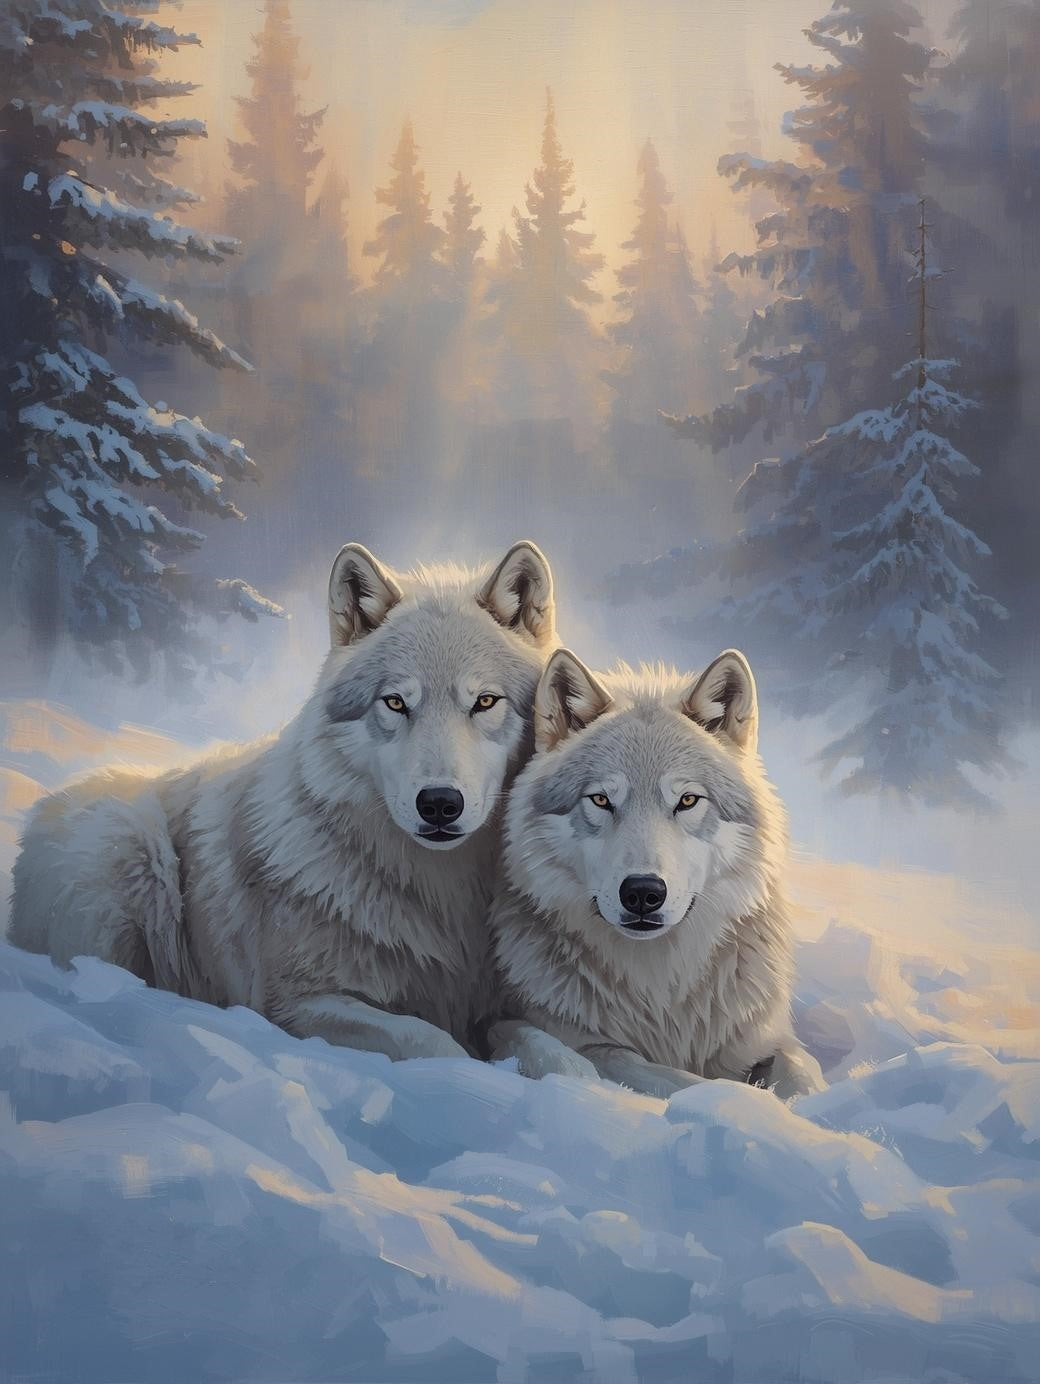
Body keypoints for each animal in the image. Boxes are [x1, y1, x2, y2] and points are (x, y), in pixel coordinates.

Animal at [10, 541, 556, 1060]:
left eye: (484, 701)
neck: (441, 895)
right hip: (125, 849)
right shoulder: (295, 1004)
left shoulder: (493, 1007)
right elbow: (431, 1042)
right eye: (396, 702)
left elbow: (549, 1050)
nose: (440, 803)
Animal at [487, 646, 826, 1099]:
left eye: (687, 800)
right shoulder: (582, 1040)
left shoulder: (766, 1040)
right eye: (601, 800)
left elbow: (804, 1073)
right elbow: (675, 1079)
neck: (661, 987)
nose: (643, 892)